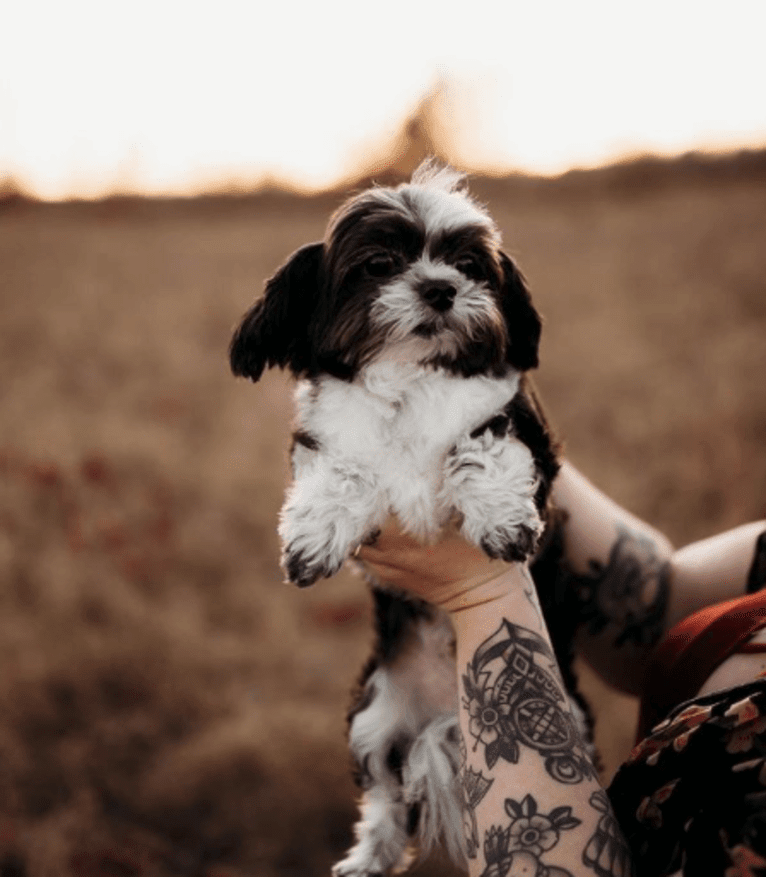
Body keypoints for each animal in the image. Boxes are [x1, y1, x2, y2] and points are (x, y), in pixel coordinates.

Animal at [231, 161, 592, 872]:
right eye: (380, 264)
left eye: (469, 264)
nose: (440, 288)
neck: (412, 379)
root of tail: (439, 715)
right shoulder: (327, 439)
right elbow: (342, 473)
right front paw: (313, 538)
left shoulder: (517, 426)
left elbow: (479, 447)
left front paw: (500, 520)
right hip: (373, 717)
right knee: (385, 800)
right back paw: (368, 859)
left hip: (566, 709)